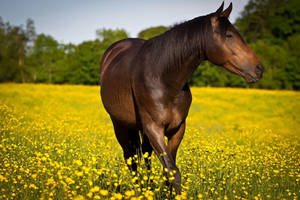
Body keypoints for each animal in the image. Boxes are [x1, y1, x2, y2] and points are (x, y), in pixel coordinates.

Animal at [100, 2, 262, 193]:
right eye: (229, 35)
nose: (259, 68)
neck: (163, 78)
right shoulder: (154, 128)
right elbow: (172, 171)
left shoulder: (177, 129)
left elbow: (168, 170)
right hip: (120, 125)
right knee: (130, 158)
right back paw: (138, 190)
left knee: (145, 156)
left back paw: (148, 187)